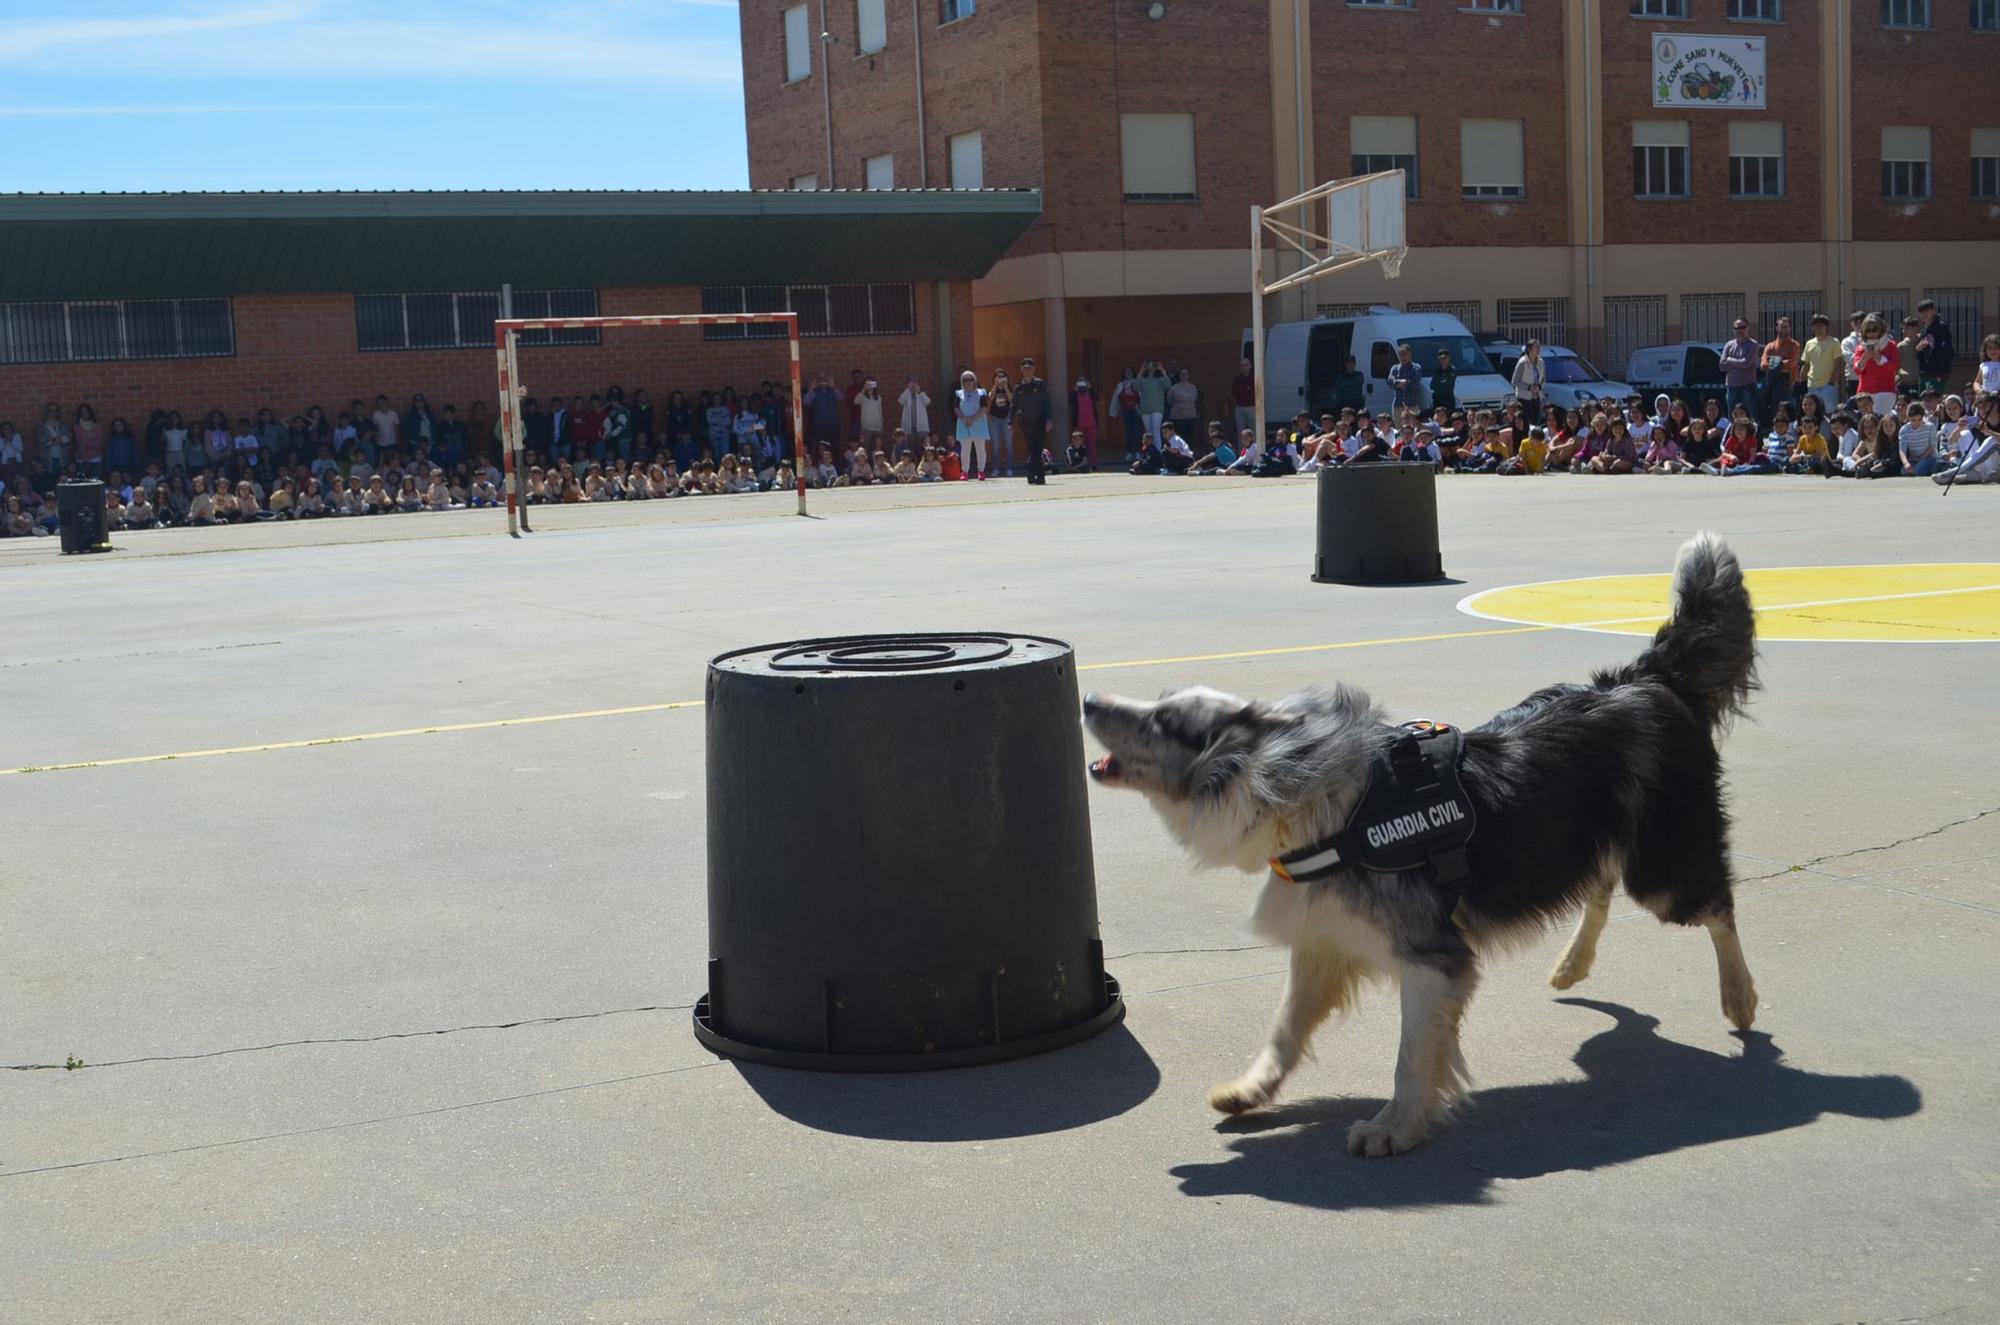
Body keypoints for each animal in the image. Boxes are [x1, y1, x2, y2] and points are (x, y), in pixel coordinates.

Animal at [1088, 536, 1760, 1160]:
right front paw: (1251, 1089)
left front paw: (1396, 1126)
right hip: (1587, 840)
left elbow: (1411, 1057)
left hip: (1663, 867)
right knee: (1600, 883)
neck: (1307, 799)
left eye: (1166, 723)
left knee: (1717, 906)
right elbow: (1286, 1026)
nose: (1090, 699)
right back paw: (1573, 965)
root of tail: (1646, 680)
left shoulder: (1431, 958)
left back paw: (1740, 998)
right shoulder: (1324, 939)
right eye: (1158, 705)